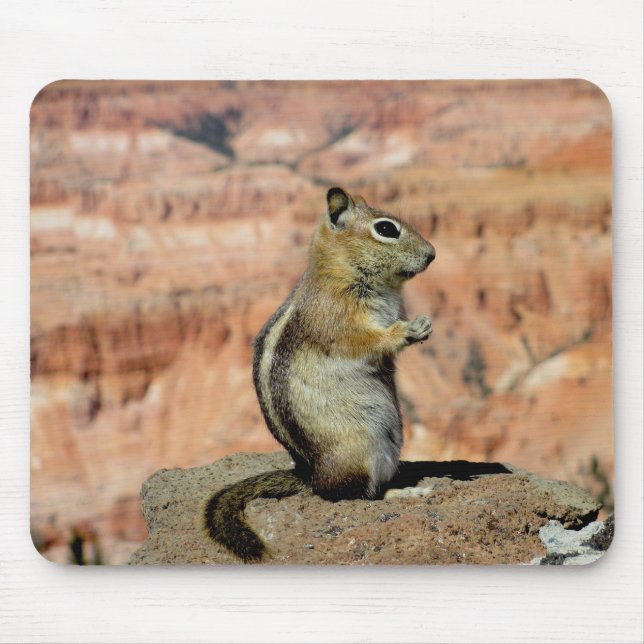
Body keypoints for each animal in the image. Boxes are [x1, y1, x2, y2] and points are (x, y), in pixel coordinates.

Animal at [202, 187, 435, 562]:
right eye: (386, 229)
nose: (432, 254)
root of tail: (311, 475)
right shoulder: (338, 317)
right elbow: (366, 341)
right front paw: (407, 330)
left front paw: (423, 325)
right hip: (361, 450)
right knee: (352, 496)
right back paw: (404, 493)